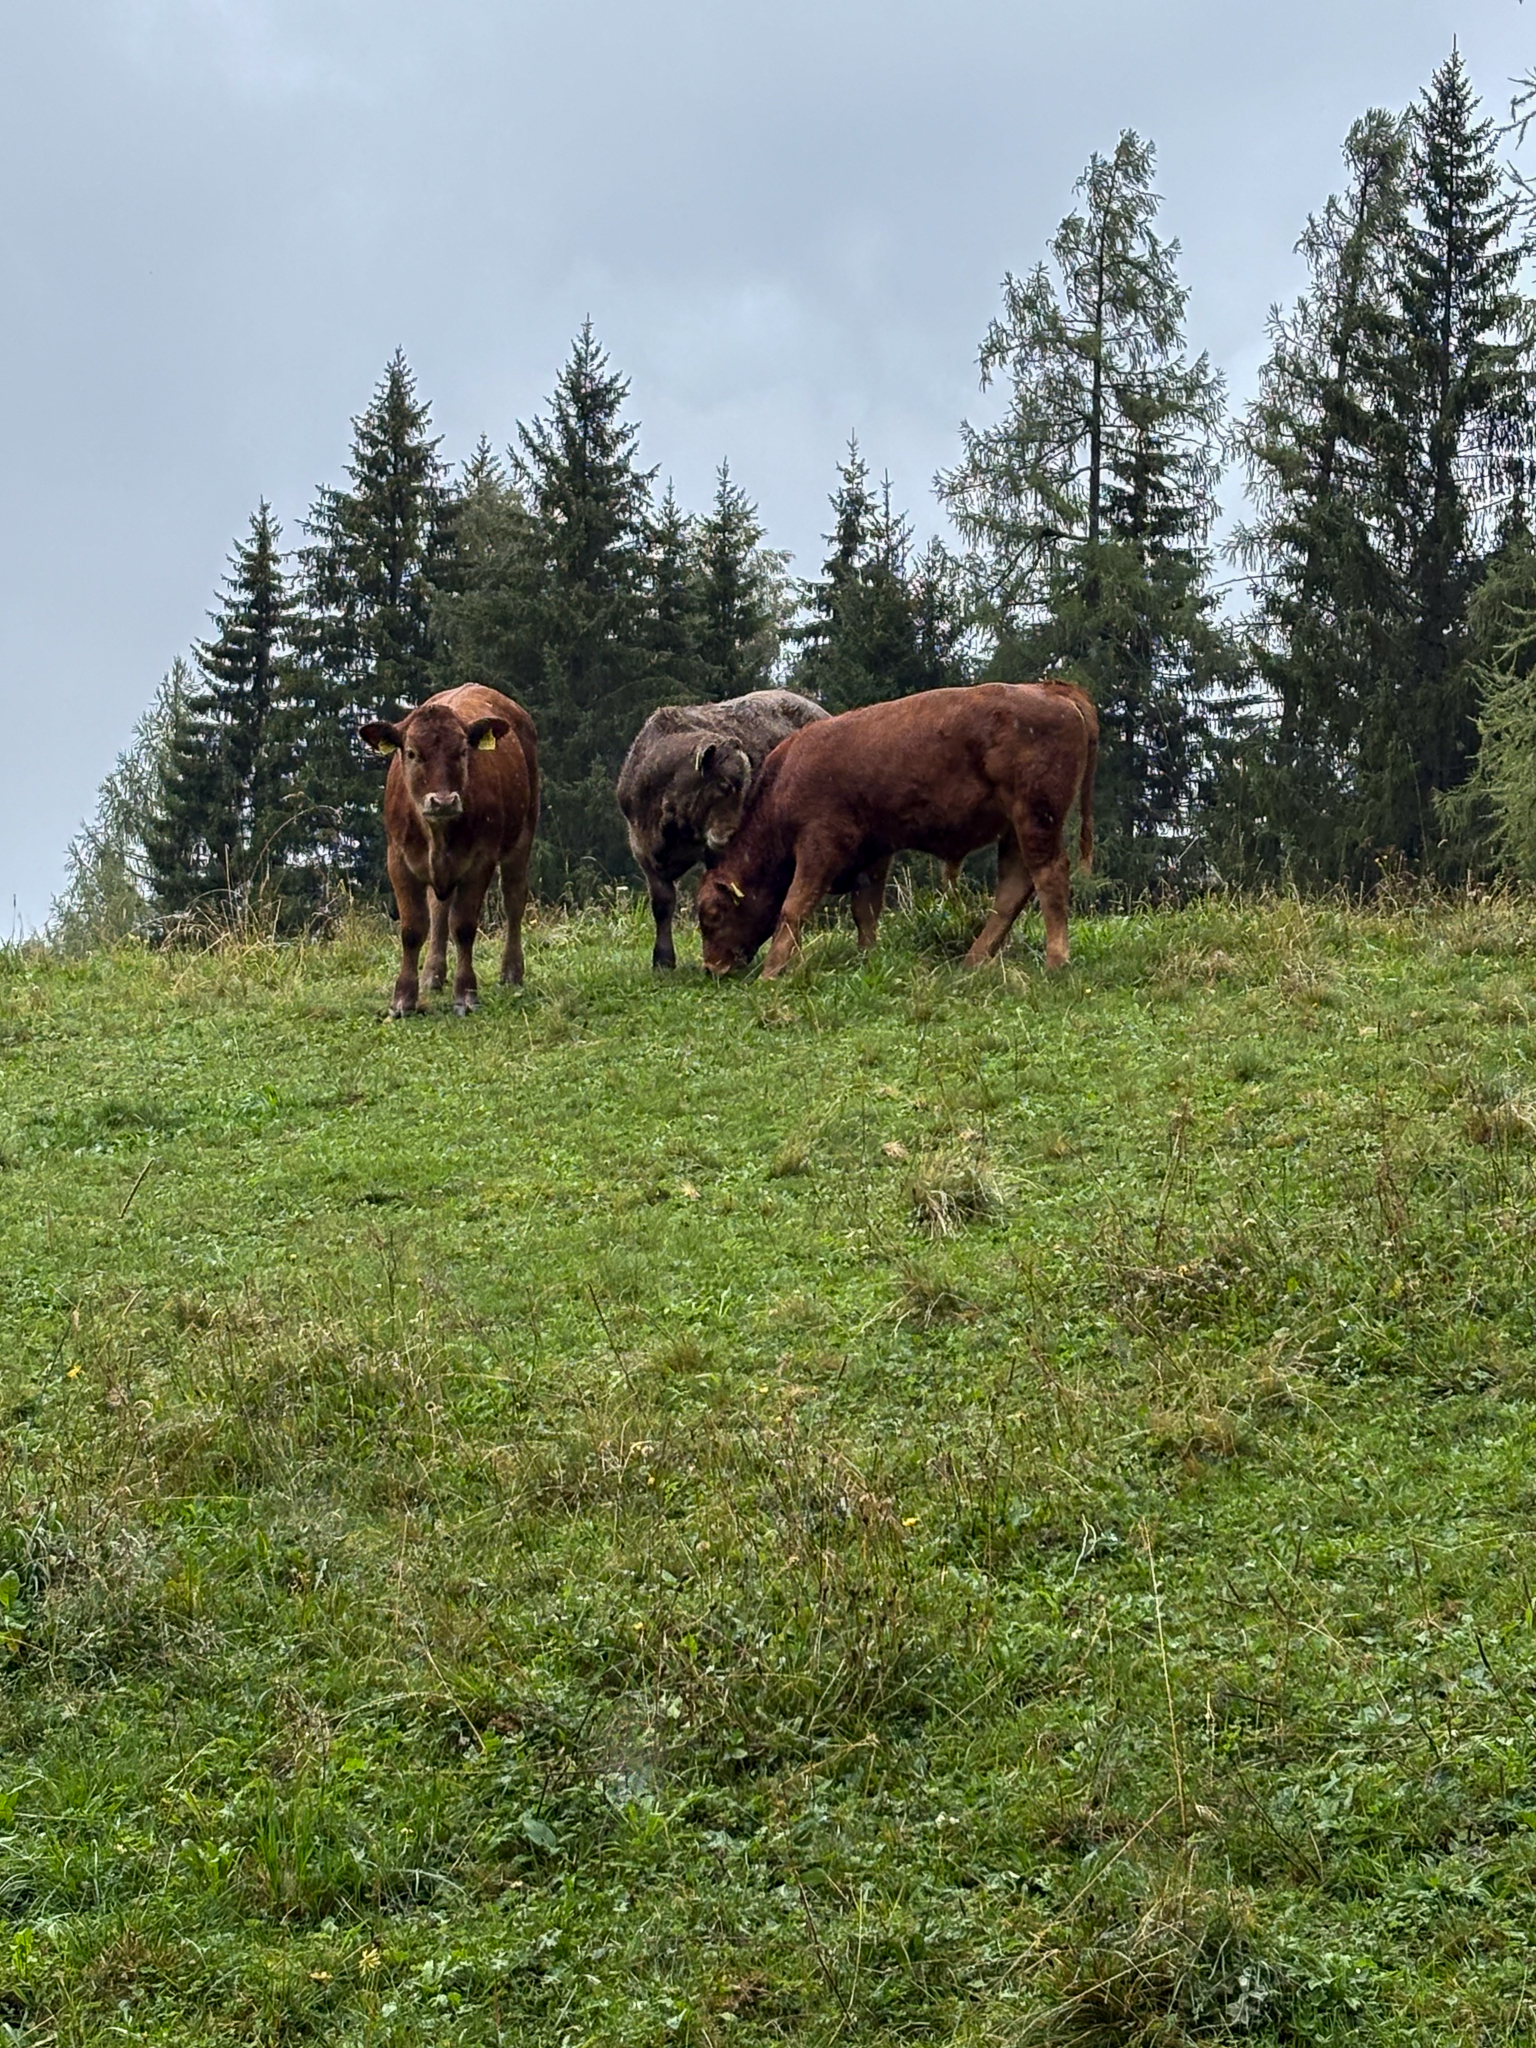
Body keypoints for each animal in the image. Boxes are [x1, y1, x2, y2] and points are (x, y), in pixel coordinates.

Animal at [360, 684, 539, 1017]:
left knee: (513, 897)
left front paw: (466, 993)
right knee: (438, 908)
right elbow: (413, 928)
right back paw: (432, 974)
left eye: (462, 751)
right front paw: (404, 998)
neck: (437, 834)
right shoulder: (398, 861)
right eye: (412, 753)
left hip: (523, 833)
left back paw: (511, 971)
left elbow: (464, 926)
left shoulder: (480, 861)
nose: (443, 801)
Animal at [616, 688, 830, 968]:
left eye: (748, 789)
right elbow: (663, 904)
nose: (731, 835)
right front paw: (663, 961)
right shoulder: (642, 848)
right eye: (725, 785)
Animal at [694, 681, 1097, 980]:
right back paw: (973, 962)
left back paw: (1055, 962)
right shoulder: (874, 853)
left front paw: (772, 972)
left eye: (712, 914)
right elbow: (865, 911)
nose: (713, 967)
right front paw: (866, 959)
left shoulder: (819, 846)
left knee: (1049, 877)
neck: (785, 781)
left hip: (1035, 817)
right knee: (1013, 889)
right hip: (1015, 829)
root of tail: (1051, 689)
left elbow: (794, 907)